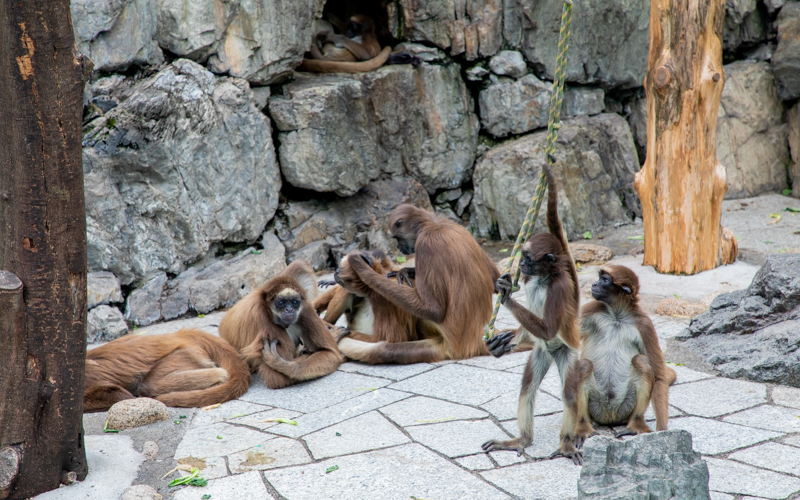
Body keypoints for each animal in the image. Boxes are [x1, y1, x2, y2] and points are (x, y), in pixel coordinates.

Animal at [219, 260, 344, 388]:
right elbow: (277, 379)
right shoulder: (263, 320)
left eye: (294, 302)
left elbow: (332, 353)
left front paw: (282, 365)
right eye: (281, 302)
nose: (289, 310)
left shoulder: (305, 309)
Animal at [482, 162, 580, 462]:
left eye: (527, 258)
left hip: (566, 352)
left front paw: (506, 294)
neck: (543, 278)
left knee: (570, 395)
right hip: (541, 352)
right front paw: (498, 344)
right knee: (527, 389)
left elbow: (547, 328)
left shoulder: (560, 287)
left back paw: (566, 444)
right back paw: (521, 440)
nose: (522, 265)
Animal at [564, 266, 676, 450]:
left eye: (605, 280)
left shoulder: (644, 323)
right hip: (595, 408)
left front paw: (662, 433)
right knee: (584, 366)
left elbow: (659, 376)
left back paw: (636, 425)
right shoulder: (593, 308)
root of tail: (610, 417)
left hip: (626, 408)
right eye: (599, 278)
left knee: (641, 361)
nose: (594, 284)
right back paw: (583, 427)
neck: (617, 315)